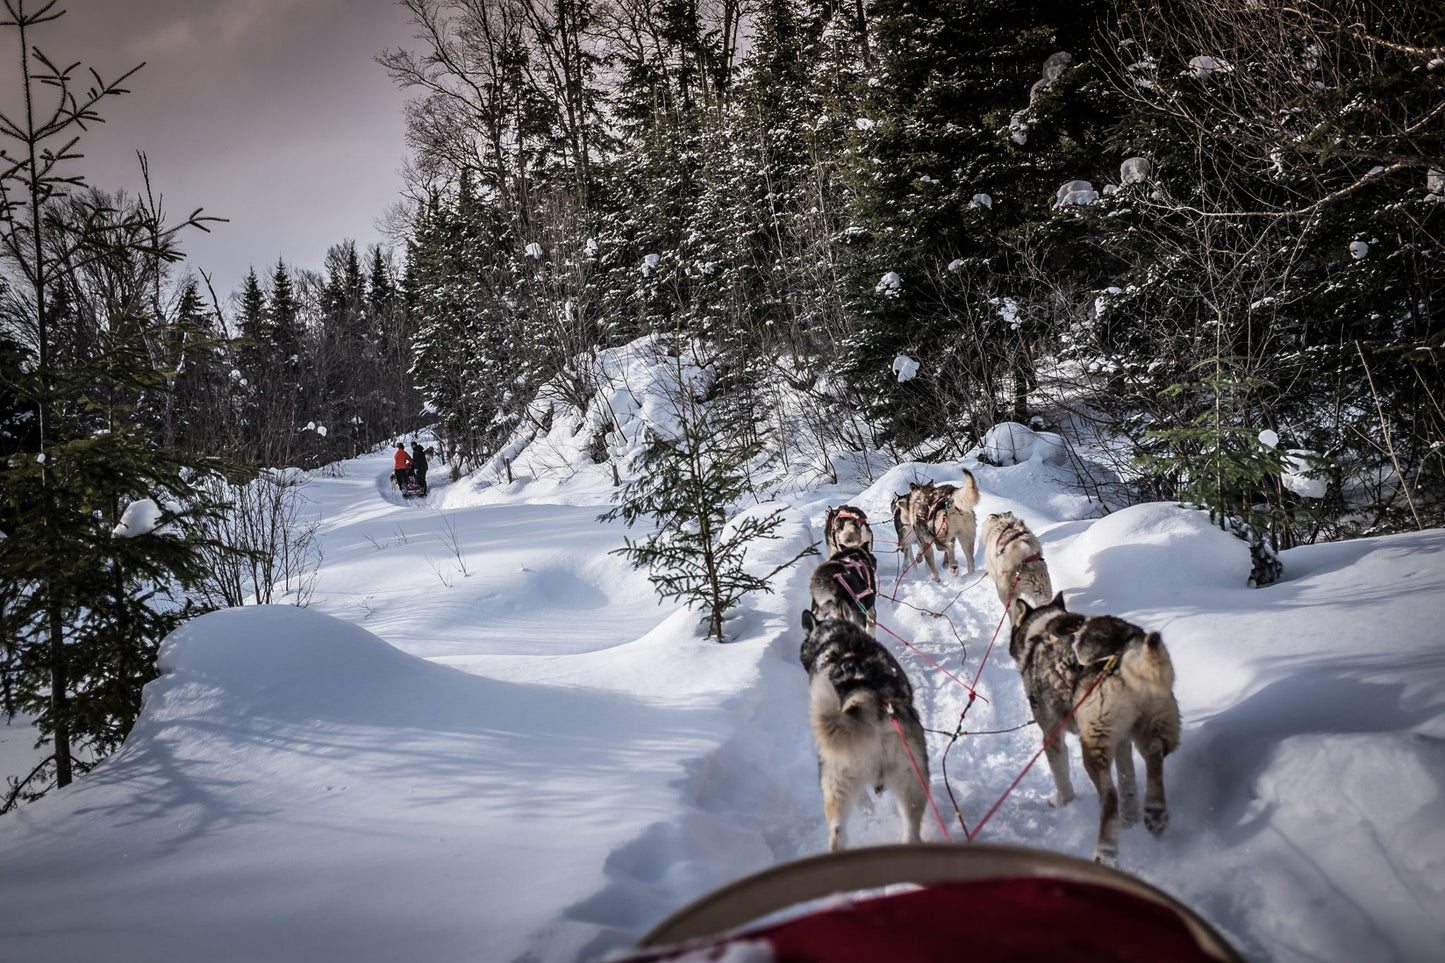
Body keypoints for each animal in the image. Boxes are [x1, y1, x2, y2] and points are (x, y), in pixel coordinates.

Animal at [1011, 589, 1179, 867]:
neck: (1041, 630)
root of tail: (1123, 653)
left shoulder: (1051, 734)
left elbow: (1061, 775)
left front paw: (1061, 800)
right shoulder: (1121, 741)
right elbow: (1128, 781)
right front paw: (1130, 821)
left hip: (1094, 744)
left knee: (1110, 795)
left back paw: (1106, 851)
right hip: (1151, 723)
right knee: (1154, 755)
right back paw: (1154, 812)